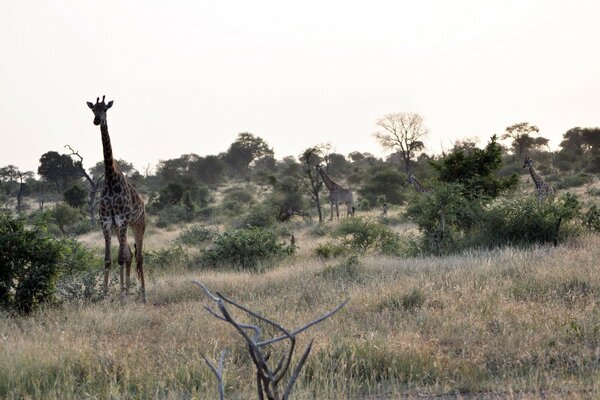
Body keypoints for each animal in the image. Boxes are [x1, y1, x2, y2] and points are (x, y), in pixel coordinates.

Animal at [85, 97, 148, 302]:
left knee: (139, 256)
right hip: (120, 227)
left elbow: (120, 258)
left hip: (138, 224)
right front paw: (105, 295)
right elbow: (108, 259)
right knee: (129, 254)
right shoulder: (106, 222)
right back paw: (128, 291)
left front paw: (121, 297)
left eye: (105, 109)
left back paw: (143, 295)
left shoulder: (122, 220)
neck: (111, 179)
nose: (97, 121)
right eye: (93, 110)